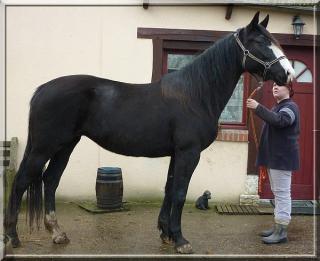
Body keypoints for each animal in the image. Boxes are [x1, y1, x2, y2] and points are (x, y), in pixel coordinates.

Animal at [5, 12, 296, 252]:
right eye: (260, 42)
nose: (289, 74)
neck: (196, 94)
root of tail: (42, 89)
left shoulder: (177, 154)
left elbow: (169, 189)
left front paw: (166, 233)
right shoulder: (189, 153)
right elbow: (179, 192)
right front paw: (181, 240)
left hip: (66, 145)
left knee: (51, 180)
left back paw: (57, 233)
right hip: (44, 147)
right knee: (21, 181)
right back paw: (12, 237)